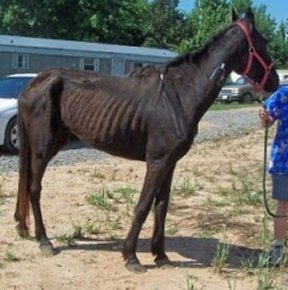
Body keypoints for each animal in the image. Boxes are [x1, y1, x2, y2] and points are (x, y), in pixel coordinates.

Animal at [14, 8, 280, 272]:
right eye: (264, 42)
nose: (275, 81)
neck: (179, 96)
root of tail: (34, 83)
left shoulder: (170, 163)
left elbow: (161, 206)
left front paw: (160, 255)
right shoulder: (157, 162)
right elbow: (143, 205)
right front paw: (131, 257)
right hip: (42, 148)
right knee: (34, 188)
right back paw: (44, 240)